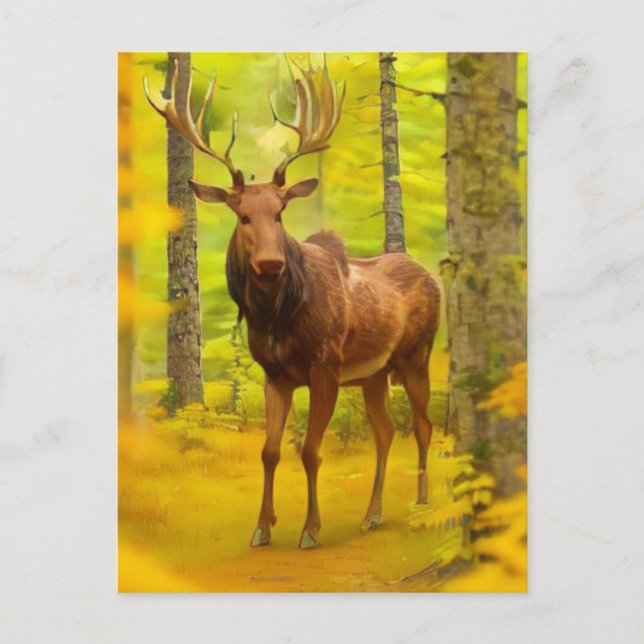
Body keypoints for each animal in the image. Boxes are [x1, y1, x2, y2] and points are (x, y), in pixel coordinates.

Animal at [145, 57, 440, 549]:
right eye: (243, 216)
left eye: (280, 213)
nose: (270, 263)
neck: (277, 319)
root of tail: (432, 273)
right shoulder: (276, 375)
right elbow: (269, 451)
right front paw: (262, 527)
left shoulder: (325, 366)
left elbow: (311, 450)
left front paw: (310, 529)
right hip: (374, 375)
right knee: (385, 430)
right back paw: (372, 515)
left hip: (417, 356)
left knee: (423, 424)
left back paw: (421, 500)